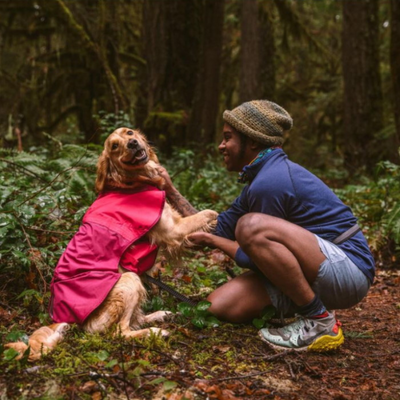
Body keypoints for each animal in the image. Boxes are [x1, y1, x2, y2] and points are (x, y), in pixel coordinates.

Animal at [5, 128, 219, 362]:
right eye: (115, 146)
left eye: (129, 132)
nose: (133, 144)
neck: (130, 182)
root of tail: (66, 318)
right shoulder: (173, 229)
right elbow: (209, 213)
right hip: (129, 280)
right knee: (120, 331)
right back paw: (154, 332)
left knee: (134, 320)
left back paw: (159, 315)